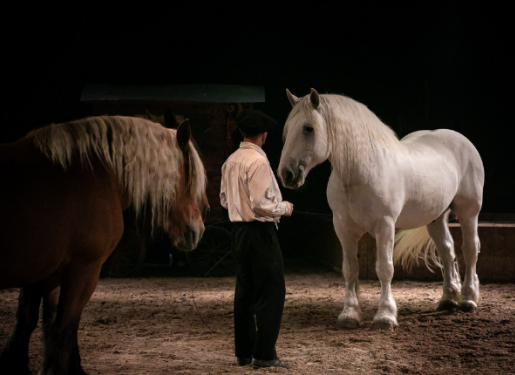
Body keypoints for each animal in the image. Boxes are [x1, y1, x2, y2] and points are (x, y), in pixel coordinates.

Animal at [0, 116, 210, 374]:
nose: (199, 228)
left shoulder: (46, 275)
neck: (99, 172)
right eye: (190, 176)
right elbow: (63, 329)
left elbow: (33, 324)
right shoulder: (83, 270)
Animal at [278, 89, 484, 330]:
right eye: (287, 130)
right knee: (447, 250)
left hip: (469, 212)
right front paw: (349, 314)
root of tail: (461, 140)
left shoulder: (385, 226)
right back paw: (448, 299)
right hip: (436, 218)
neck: (362, 170)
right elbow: (350, 269)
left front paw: (385, 316)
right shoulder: (343, 228)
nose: (287, 174)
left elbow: (385, 268)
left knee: (469, 249)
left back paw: (468, 299)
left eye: (308, 128)